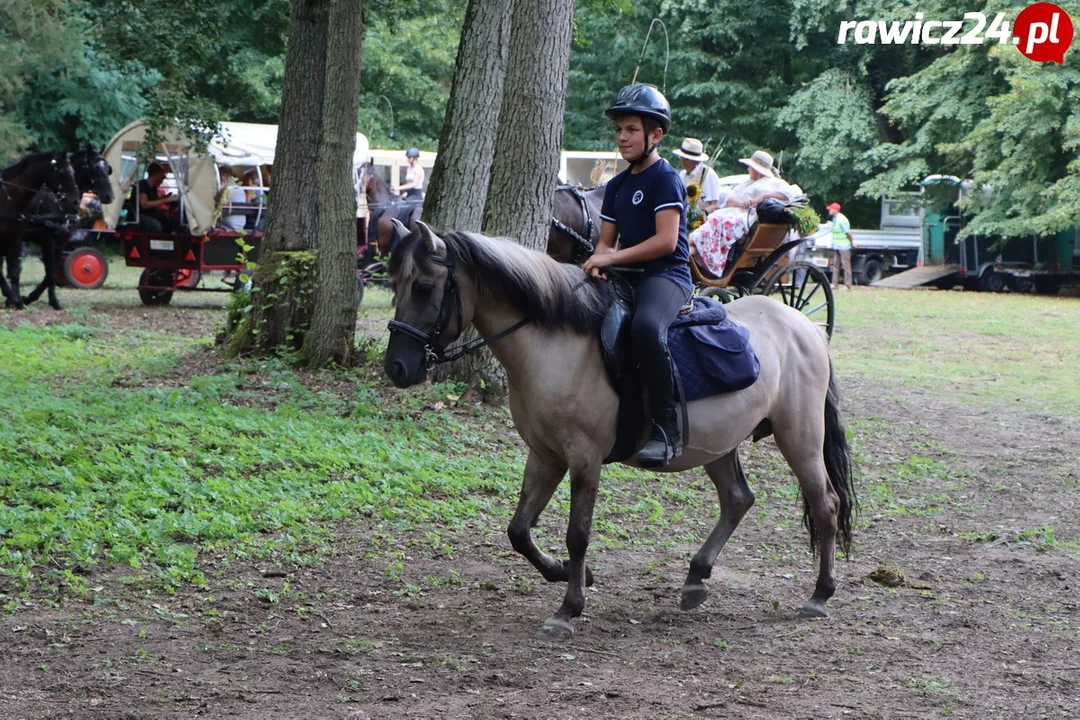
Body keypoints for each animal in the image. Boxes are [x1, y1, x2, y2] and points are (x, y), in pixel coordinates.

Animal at [0, 151, 78, 308]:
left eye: (73, 171)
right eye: (62, 172)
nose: (75, 202)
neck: (7, 197)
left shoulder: (15, 237)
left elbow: (16, 271)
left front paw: (17, 300)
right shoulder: (47, 240)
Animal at [21, 148, 115, 310]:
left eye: (107, 168)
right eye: (94, 168)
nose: (109, 196)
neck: (60, 201)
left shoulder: (61, 242)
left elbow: (51, 272)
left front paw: (37, 298)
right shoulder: (48, 240)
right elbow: (50, 271)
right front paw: (42, 299)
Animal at [384, 222, 855, 639]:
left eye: (423, 287)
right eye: (394, 286)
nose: (397, 368)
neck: (555, 342)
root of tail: (804, 327)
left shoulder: (584, 457)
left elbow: (577, 534)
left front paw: (568, 609)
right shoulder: (545, 454)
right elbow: (519, 530)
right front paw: (567, 574)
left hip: (799, 437)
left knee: (826, 504)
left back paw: (819, 595)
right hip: (719, 444)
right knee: (738, 499)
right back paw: (695, 579)